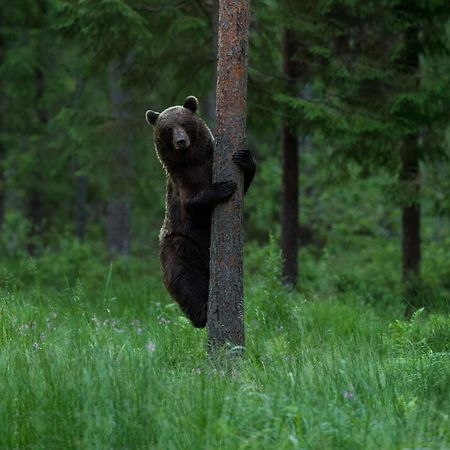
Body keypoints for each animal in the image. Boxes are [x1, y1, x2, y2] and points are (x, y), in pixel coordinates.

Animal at [146, 96, 255, 326]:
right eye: (168, 129)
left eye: (184, 123)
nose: (181, 141)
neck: (192, 159)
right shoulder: (181, 180)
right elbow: (192, 203)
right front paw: (222, 187)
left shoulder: (210, 160)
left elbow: (243, 183)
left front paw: (245, 158)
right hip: (180, 244)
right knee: (185, 279)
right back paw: (202, 314)